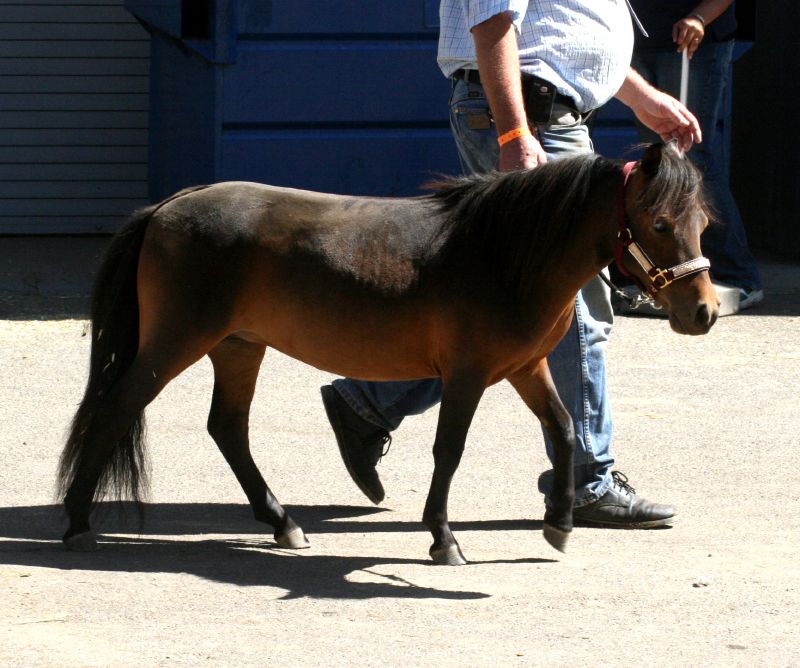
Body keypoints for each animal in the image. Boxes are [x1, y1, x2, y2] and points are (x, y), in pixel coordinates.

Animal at [57, 141, 718, 565]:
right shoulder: (467, 375)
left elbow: (562, 430)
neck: (503, 253)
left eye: (702, 222)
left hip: (238, 348)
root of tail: (166, 208)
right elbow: (449, 452)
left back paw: (282, 522)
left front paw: (558, 524)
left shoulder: (525, 369)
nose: (704, 311)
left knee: (228, 429)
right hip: (176, 341)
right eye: (660, 223)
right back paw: (79, 524)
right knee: (116, 410)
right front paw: (444, 540)